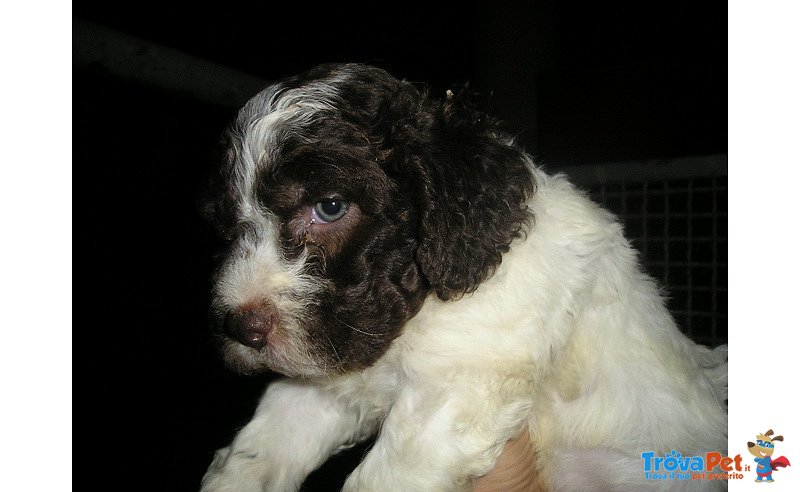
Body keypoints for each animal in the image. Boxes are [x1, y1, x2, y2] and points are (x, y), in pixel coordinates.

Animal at [198, 63, 724, 490]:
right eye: (226, 224)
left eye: (329, 206)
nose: (240, 328)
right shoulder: (329, 370)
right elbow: (262, 446)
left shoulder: (463, 380)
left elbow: (381, 479)